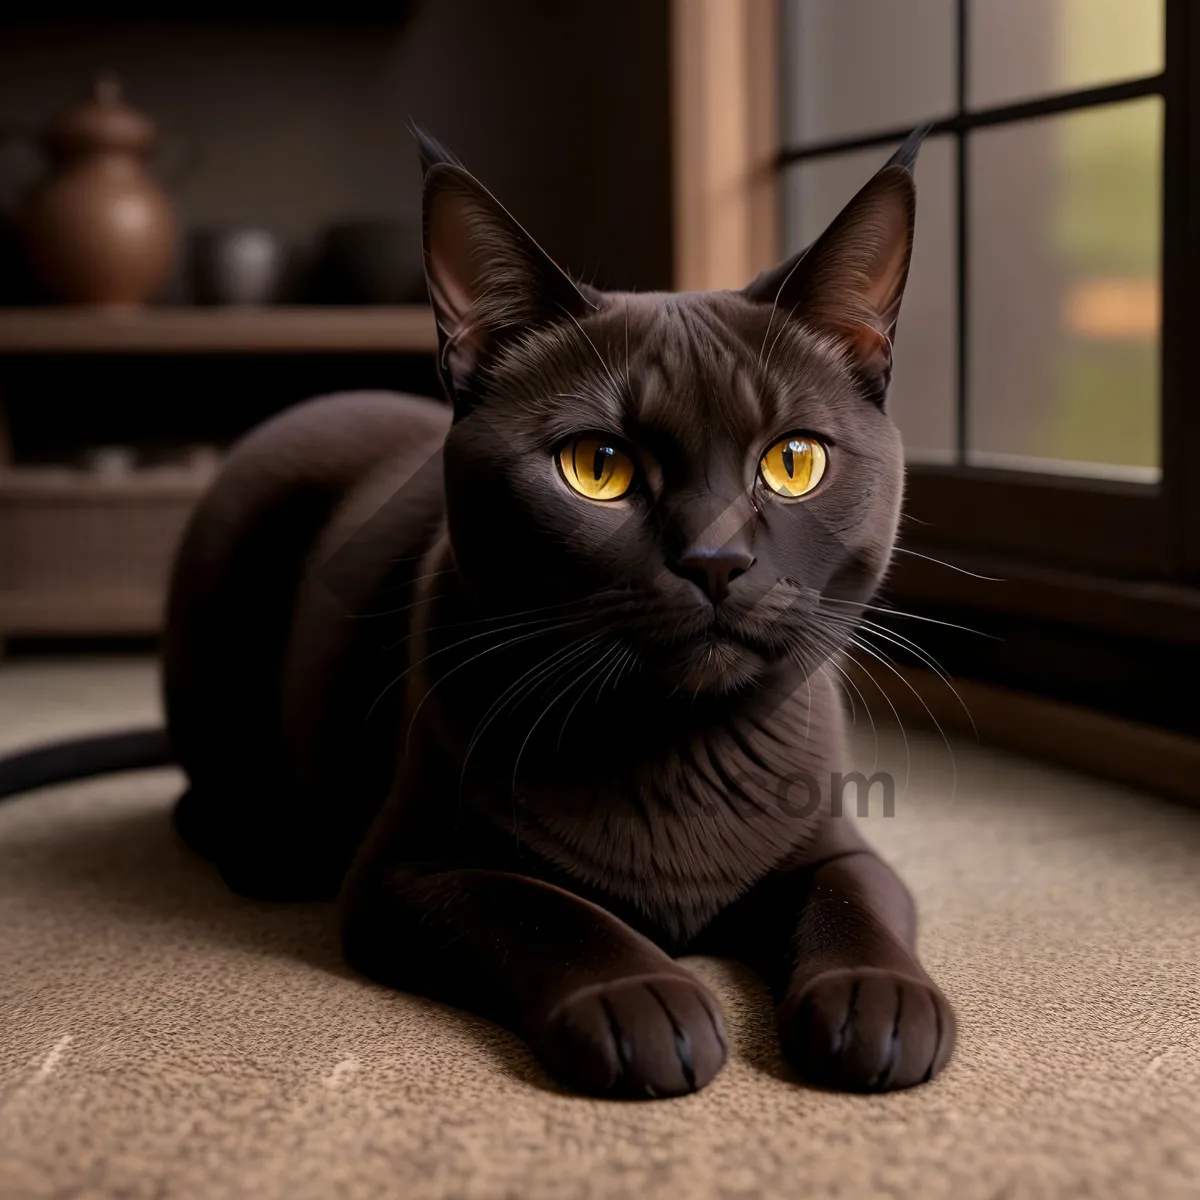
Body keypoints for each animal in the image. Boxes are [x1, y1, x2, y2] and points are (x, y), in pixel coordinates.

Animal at [0, 129, 955, 1099]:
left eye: (793, 462)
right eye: (597, 467)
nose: (715, 561)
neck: (673, 745)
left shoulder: (834, 846)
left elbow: (857, 904)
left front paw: (876, 1005)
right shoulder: (405, 872)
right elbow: (541, 906)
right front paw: (644, 1004)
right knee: (204, 786)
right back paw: (271, 848)